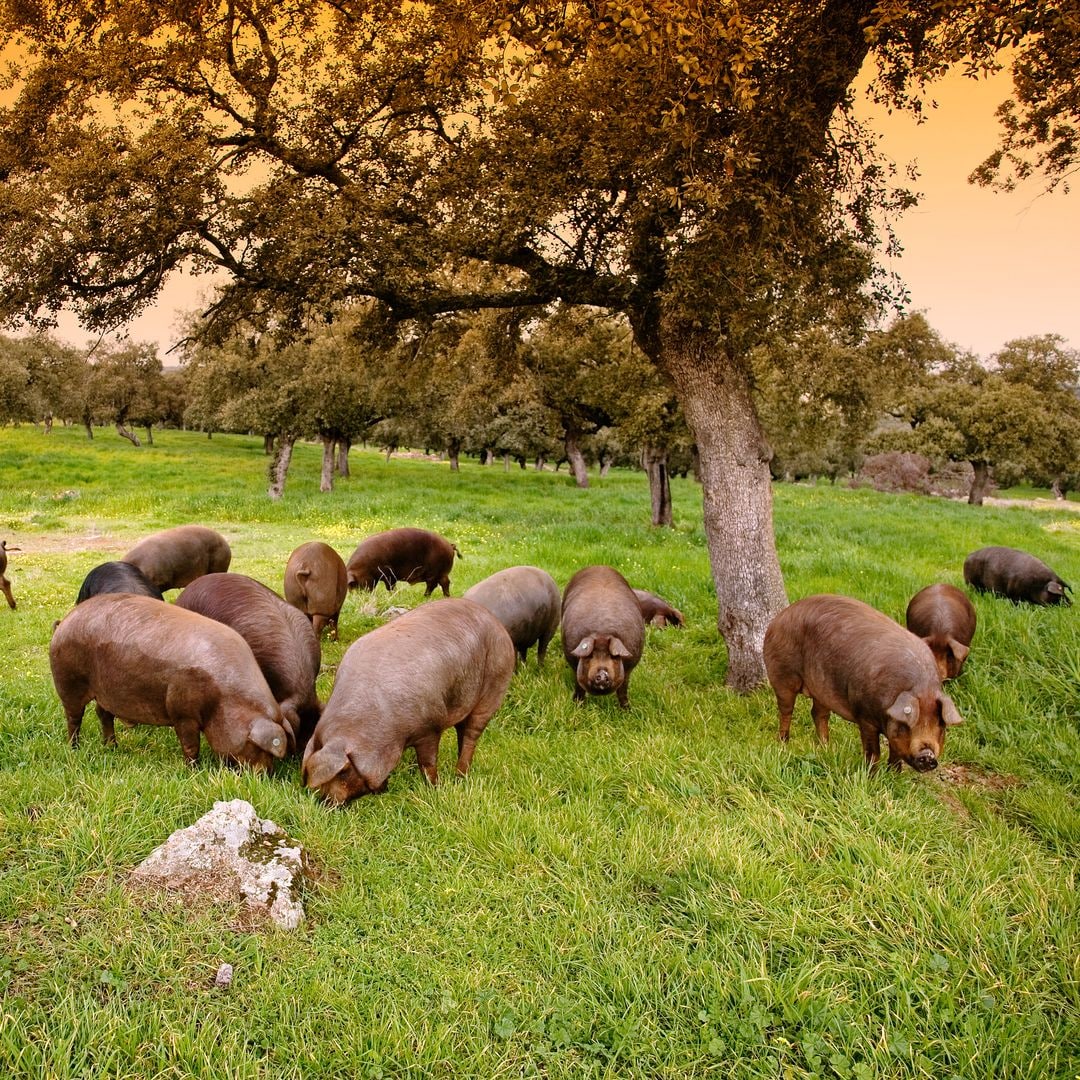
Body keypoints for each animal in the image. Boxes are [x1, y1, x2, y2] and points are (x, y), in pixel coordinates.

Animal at [50, 591, 291, 768]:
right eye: (255, 747)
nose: (264, 775)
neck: (226, 697)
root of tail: (63, 622)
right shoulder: (182, 712)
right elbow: (190, 745)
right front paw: (193, 770)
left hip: (105, 692)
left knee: (103, 714)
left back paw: (112, 747)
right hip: (68, 682)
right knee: (74, 718)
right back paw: (74, 748)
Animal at [300, 596, 514, 807]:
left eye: (343, 773)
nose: (324, 802)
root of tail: (497, 624)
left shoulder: (430, 727)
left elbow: (428, 763)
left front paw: (434, 788)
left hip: (495, 683)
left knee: (472, 734)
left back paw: (460, 776)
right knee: (463, 732)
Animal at [561, 565, 643, 708]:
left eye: (613, 656)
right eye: (590, 655)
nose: (602, 674)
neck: (602, 632)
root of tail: (600, 566)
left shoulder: (630, 666)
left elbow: (623, 689)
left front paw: (627, 709)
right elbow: (579, 687)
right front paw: (577, 705)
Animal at [760, 596, 963, 773]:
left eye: (941, 725)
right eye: (909, 724)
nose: (928, 755)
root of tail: (779, 618)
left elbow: (895, 753)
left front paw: (894, 775)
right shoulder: (865, 717)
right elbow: (873, 752)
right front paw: (871, 776)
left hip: (822, 689)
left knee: (818, 714)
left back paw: (826, 747)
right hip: (782, 674)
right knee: (786, 710)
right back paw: (783, 743)